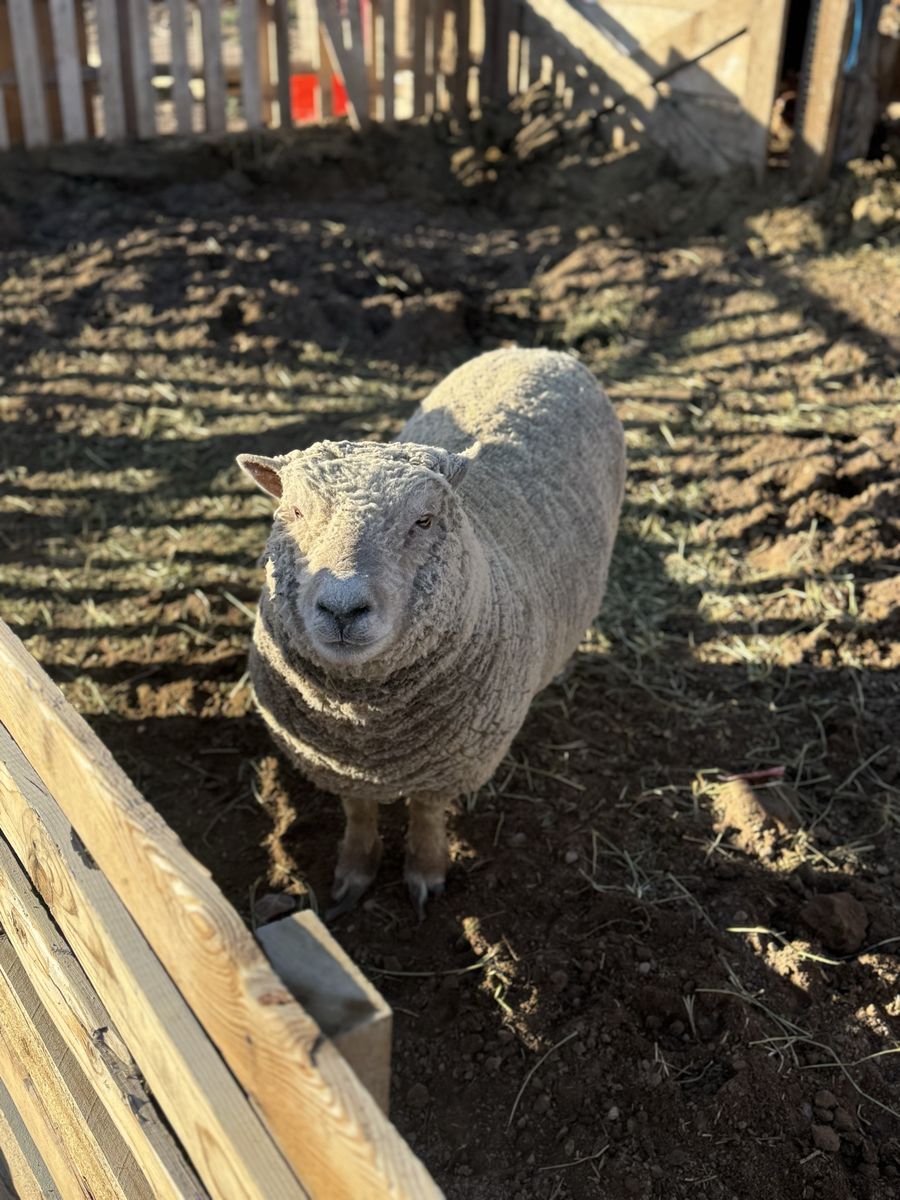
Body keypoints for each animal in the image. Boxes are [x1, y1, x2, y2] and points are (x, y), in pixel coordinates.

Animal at [238, 347, 626, 917]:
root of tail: (537, 351)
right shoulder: (335, 763)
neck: (363, 724)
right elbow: (357, 810)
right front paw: (355, 871)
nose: (342, 607)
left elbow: (425, 812)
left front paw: (425, 870)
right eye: (293, 511)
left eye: (424, 520)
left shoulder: (453, 763)